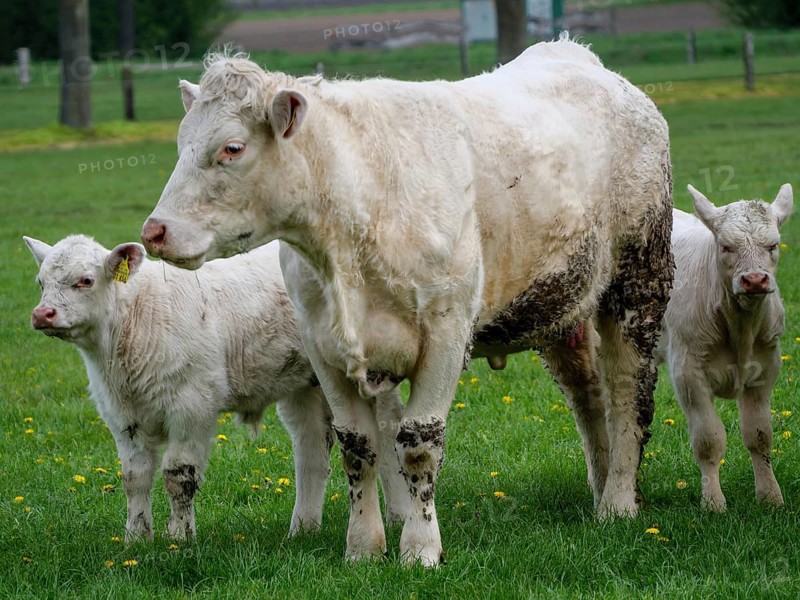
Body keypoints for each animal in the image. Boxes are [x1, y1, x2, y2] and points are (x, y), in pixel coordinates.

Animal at [24, 235, 410, 541]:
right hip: (307, 384)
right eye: (40, 282)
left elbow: (178, 474)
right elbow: (134, 477)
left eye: (85, 280)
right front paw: (136, 538)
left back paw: (398, 515)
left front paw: (179, 538)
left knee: (385, 434)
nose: (42, 314)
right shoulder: (123, 418)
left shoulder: (191, 408)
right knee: (311, 448)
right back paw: (302, 528)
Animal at [140, 35, 674, 566]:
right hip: (563, 305)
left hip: (638, 279)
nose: (154, 231)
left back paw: (619, 503)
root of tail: (577, 54)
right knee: (588, 396)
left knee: (627, 393)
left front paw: (420, 548)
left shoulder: (447, 333)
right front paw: (362, 547)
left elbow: (418, 444)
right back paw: (601, 487)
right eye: (182, 144)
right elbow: (357, 445)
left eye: (232, 148)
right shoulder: (322, 345)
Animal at [655, 184, 793, 510]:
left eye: (773, 245)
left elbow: (760, 435)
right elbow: (709, 440)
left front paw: (770, 497)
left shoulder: (766, 369)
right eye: (726, 247)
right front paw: (713, 502)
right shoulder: (688, 373)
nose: (754, 280)